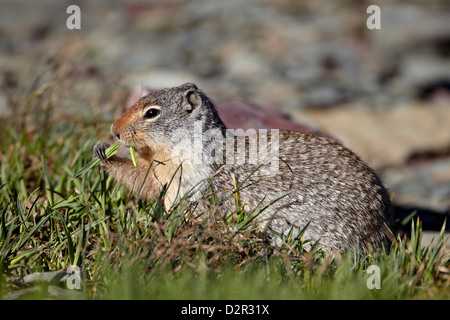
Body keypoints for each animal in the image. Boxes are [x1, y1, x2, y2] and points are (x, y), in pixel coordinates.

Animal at [94, 83, 394, 252]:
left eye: (152, 112)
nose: (114, 130)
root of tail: (381, 228)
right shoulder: (160, 174)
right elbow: (144, 180)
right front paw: (100, 152)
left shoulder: (193, 179)